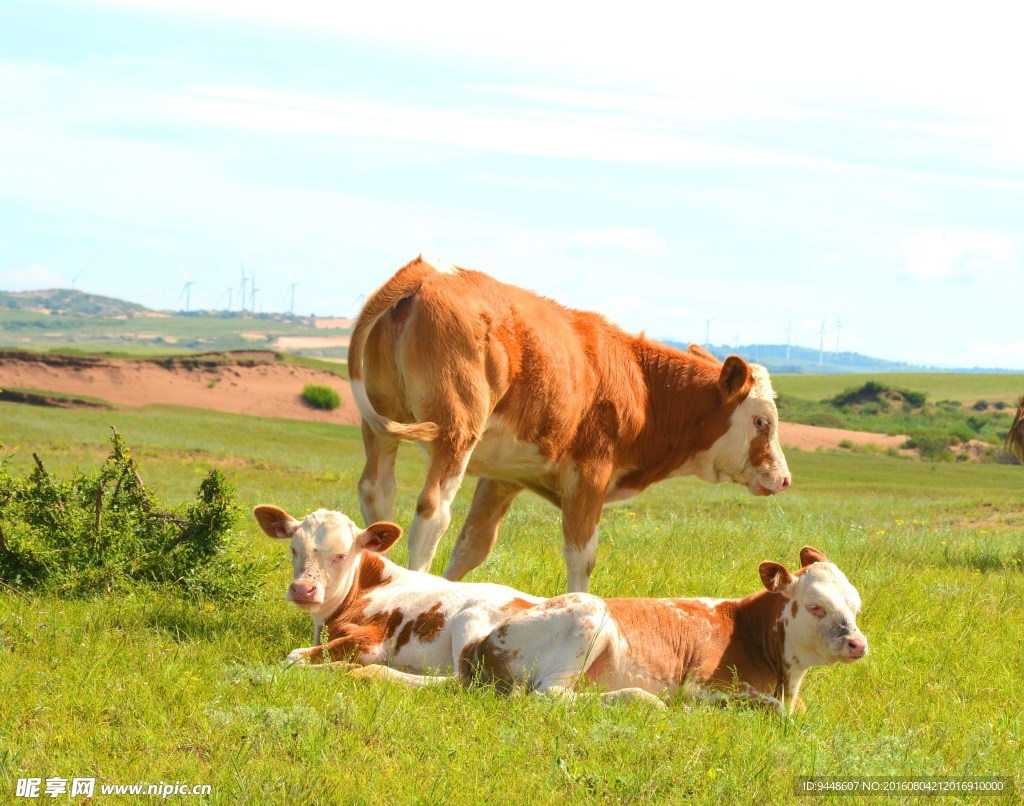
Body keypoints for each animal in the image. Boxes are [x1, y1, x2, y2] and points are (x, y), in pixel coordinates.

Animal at [256, 507, 864, 716]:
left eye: (855, 606)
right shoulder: (704, 688)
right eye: (815, 605)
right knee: (551, 699)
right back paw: (638, 701)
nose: (858, 642)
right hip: (584, 616)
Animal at [350, 258, 790, 594]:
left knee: (378, 493)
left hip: (380, 423)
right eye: (762, 421)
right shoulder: (590, 474)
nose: (784, 479)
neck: (642, 384)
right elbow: (582, 557)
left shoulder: (504, 476)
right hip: (457, 431)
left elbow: (472, 546)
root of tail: (428, 272)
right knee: (431, 512)